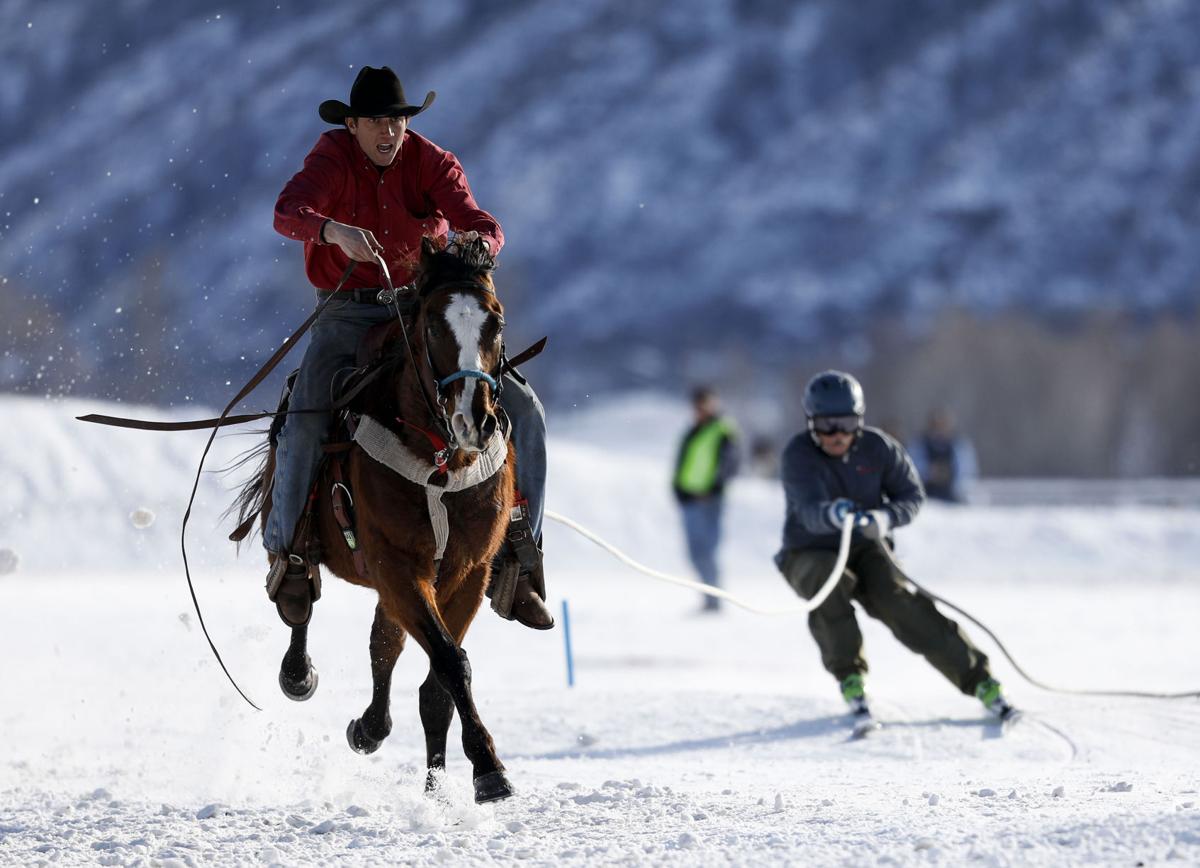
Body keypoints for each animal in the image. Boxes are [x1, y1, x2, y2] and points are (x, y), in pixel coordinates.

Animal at [234, 235, 516, 803]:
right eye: (432, 325)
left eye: (496, 321)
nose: (472, 419)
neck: (440, 461)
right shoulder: (397, 564)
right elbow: (450, 662)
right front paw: (489, 767)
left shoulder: (466, 573)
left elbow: (438, 679)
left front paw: (451, 781)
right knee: (301, 601)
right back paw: (301, 673)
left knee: (384, 645)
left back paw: (371, 728)